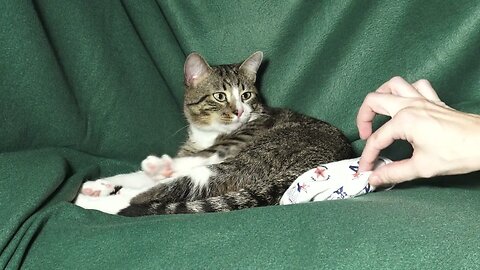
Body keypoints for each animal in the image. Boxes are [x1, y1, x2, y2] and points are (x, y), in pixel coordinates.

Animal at [74, 50, 352, 215]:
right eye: (220, 96)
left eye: (246, 95)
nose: (239, 111)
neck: (205, 133)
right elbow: (137, 175)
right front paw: (99, 183)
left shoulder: (223, 148)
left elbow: (166, 170)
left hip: (248, 159)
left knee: (161, 194)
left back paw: (96, 201)